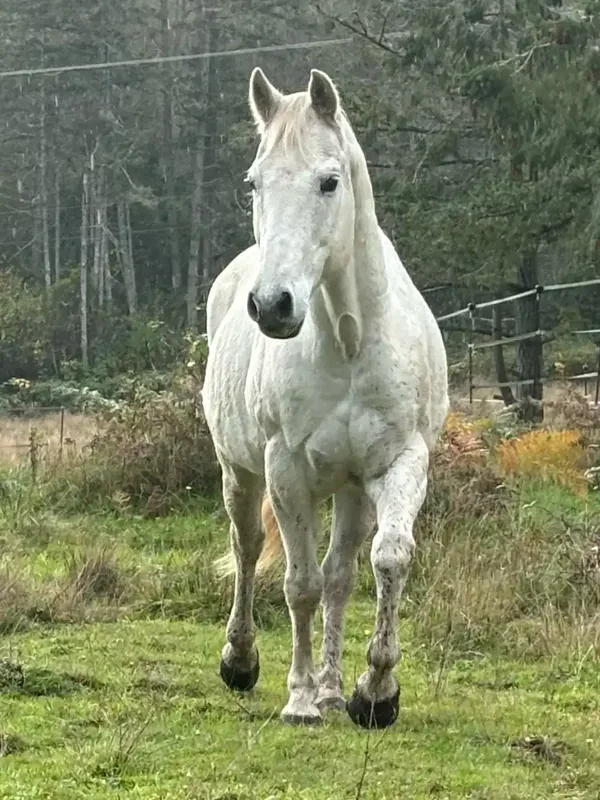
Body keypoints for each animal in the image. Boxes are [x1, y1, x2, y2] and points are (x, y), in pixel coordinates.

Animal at [201, 67, 449, 729]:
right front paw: (300, 698)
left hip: (351, 488)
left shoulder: (398, 464)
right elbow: (299, 583)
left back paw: (336, 689)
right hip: (239, 471)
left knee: (341, 574)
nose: (272, 305)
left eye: (329, 181)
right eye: (254, 182)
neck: (350, 339)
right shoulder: (285, 469)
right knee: (247, 546)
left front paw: (374, 692)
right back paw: (243, 662)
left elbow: (387, 560)